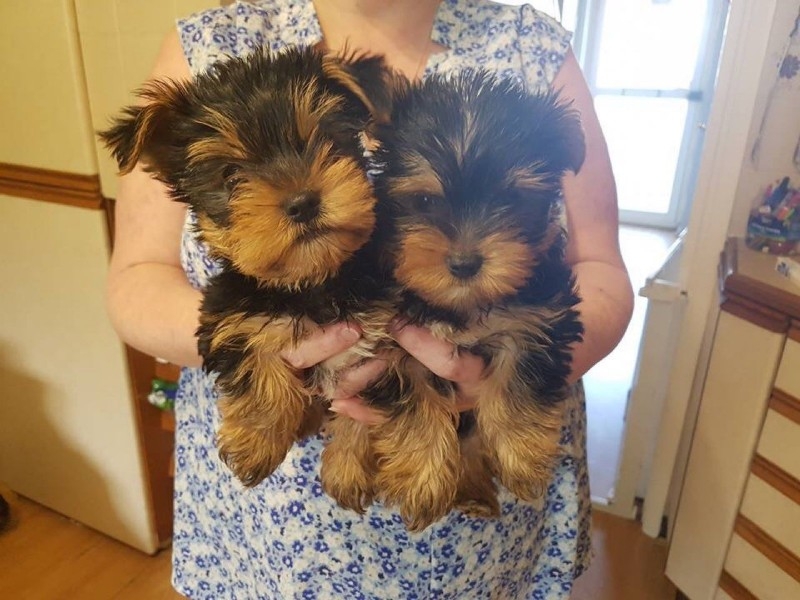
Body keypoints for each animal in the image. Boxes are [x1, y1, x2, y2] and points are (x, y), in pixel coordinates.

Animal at [370, 71, 588, 520]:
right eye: (424, 200)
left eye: (511, 198)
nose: (465, 263)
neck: (461, 305)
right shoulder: (389, 340)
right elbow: (410, 402)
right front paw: (422, 479)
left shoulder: (538, 322)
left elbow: (519, 383)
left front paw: (520, 459)